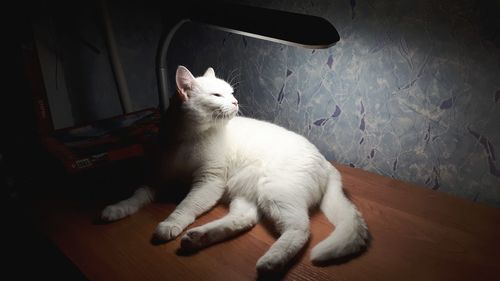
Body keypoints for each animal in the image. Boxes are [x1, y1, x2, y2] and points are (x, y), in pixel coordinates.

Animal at [100, 65, 368, 272]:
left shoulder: (209, 181)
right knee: (244, 219)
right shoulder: (158, 179)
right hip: (245, 192)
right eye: (218, 95)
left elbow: (186, 206)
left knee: (300, 229)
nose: (236, 101)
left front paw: (169, 224)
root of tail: (326, 162)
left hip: (274, 191)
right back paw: (199, 238)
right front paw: (116, 209)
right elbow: (137, 195)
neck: (188, 138)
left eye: (230, 93)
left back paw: (271, 261)